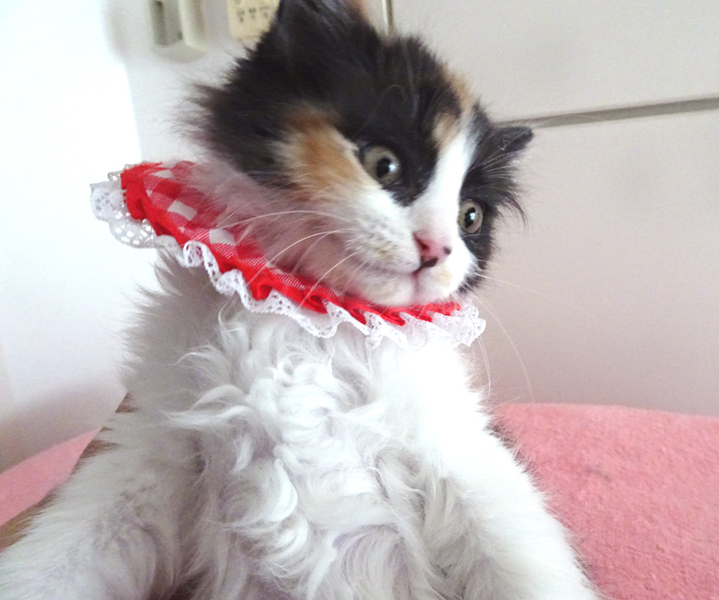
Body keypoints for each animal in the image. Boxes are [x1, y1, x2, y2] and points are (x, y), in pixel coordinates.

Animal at [0, 0, 600, 598]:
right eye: (384, 164)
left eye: (470, 217)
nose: (437, 248)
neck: (308, 315)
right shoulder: (147, 437)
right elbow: (57, 558)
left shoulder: (462, 449)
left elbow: (522, 563)